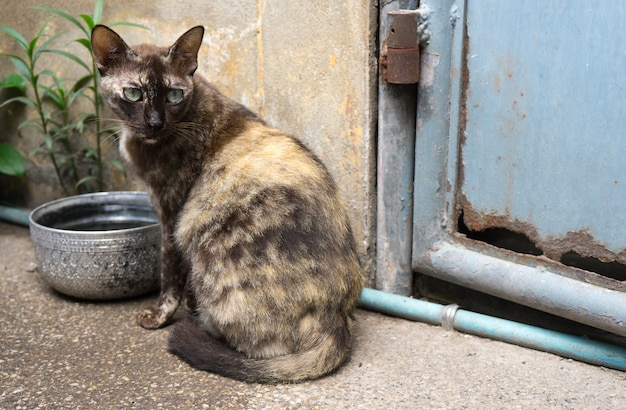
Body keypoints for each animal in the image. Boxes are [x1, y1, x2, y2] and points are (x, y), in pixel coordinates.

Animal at [88, 24, 360, 384]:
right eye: (134, 93)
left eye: (174, 95)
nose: (155, 122)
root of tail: (338, 321)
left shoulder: (171, 213)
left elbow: (169, 272)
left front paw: (160, 315)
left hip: (201, 239)